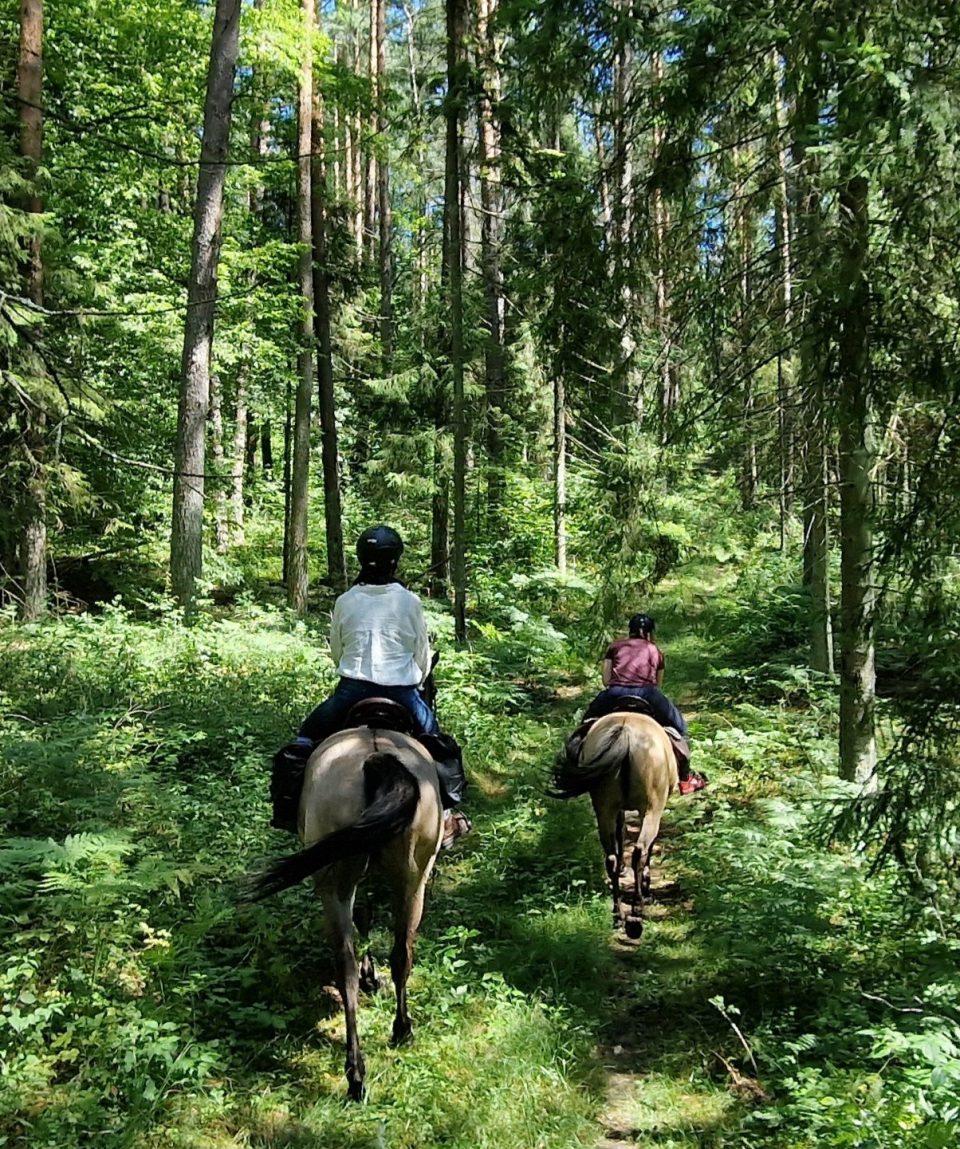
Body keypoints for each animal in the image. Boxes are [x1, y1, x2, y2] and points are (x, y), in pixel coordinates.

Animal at [248, 726, 443, 1103]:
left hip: (336, 883)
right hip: (412, 878)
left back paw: (357, 1071)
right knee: (401, 954)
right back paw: (398, 1034)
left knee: (346, 966)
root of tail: (375, 755)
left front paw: (370, 975)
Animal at [551, 707, 679, 942]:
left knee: (610, 857)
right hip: (650, 809)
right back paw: (636, 915)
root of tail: (624, 733)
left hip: (604, 808)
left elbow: (621, 834)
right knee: (639, 852)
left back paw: (618, 914)